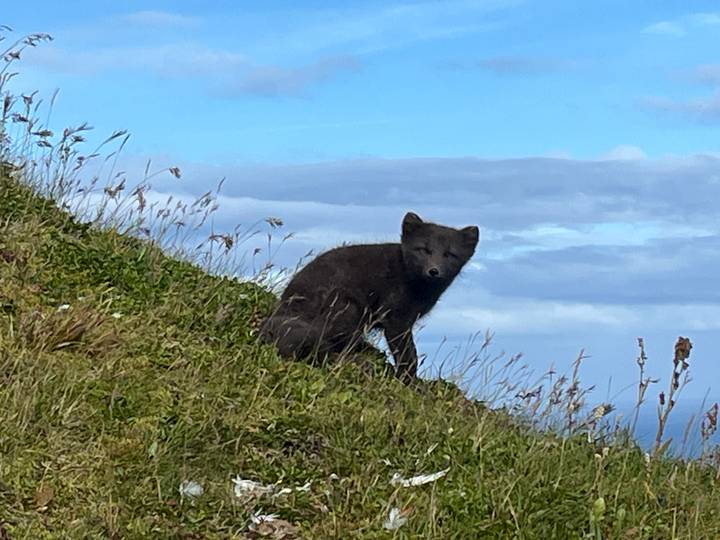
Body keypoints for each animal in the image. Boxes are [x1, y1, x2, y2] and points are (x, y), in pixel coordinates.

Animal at [259, 212, 479, 381]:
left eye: (449, 254)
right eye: (424, 250)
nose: (434, 271)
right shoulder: (395, 319)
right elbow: (409, 356)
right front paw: (409, 381)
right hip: (347, 306)